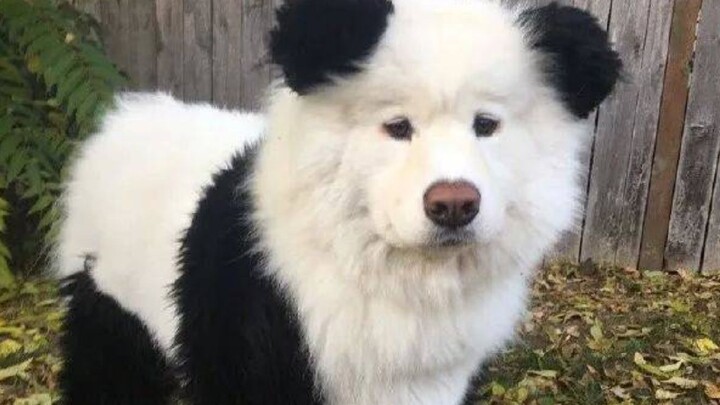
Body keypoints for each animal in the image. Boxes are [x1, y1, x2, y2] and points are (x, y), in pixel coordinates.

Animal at [56, 0, 621, 404]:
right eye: (397, 127)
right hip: (111, 297)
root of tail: (123, 119)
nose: (454, 204)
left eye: (486, 125)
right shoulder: (261, 332)